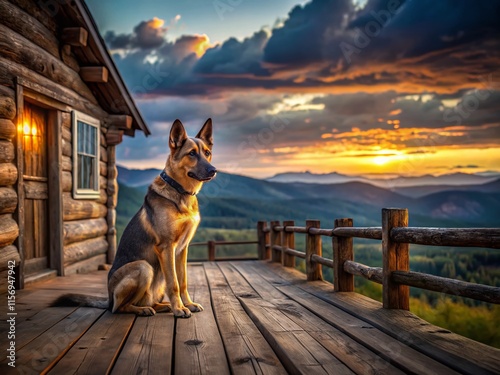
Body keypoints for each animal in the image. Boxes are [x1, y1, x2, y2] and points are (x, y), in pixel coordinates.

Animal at [54, 119, 217, 318]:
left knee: (147, 300)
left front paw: (188, 304)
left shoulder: (182, 250)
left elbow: (183, 281)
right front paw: (179, 309)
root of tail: (109, 297)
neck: (179, 191)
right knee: (119, 308)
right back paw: (144, 310)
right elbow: (174, 283)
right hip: (143, 267)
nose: (213, 170)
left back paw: (162, 306)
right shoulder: (166, 247)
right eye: (191, 153)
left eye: (207, 153)